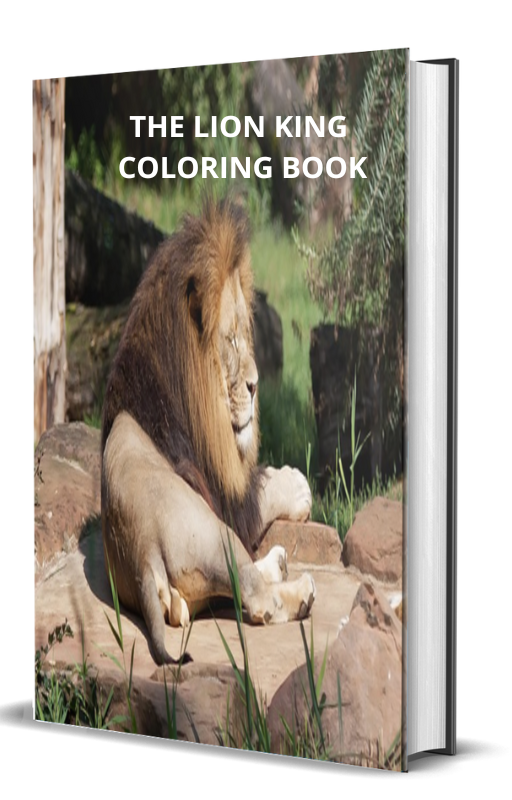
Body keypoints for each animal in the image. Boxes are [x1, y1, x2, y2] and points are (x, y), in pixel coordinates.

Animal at [101, 199, 316, 665]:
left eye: (244, 336)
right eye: (231, 340)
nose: (256, 386)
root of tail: (142, 551)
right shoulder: (219, 489)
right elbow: (261, 495)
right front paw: (296, 485)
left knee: (242, 582)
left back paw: (278, 564)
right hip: (215, 533)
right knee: (256, 595)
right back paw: (301, 590)